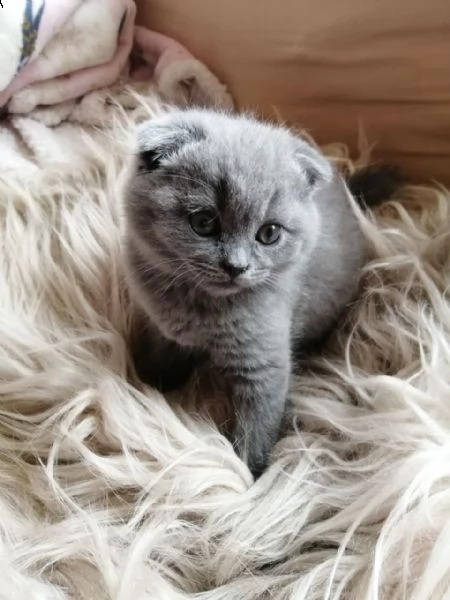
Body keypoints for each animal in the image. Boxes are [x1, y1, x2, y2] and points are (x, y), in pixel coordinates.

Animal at [123, 109, 400, 478]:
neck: (200, 308)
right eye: (204, 223)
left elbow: (258, 426)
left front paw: (249, 476)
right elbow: (160, 355)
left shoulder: (264, 362)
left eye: (269, 233)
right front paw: (150, 385)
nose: (236, 266)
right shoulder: (161, 326)